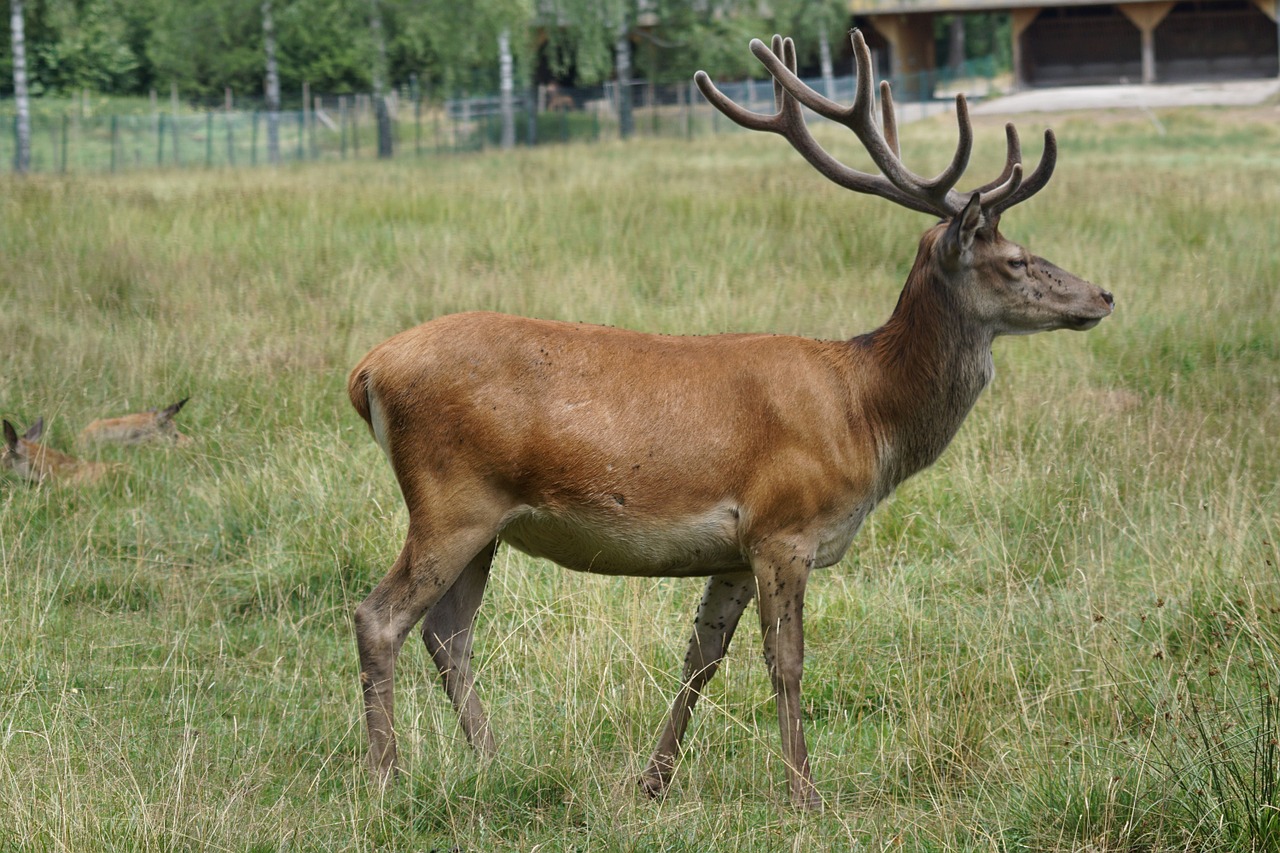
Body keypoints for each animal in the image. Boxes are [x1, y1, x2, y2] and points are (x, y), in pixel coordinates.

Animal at [345, 29, 1116, 809]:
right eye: (1015, 260)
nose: (1104, 294)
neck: (866, 413)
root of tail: (367, 371)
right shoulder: (785, 526)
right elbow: (787, 661)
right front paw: (806, 793)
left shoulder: (734, 550)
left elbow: (702, 658)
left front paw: (653, 780)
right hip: (451, 499)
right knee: (380, 617)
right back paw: (385, 779)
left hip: (488, 522)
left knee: (448, 633)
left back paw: (494, 760)